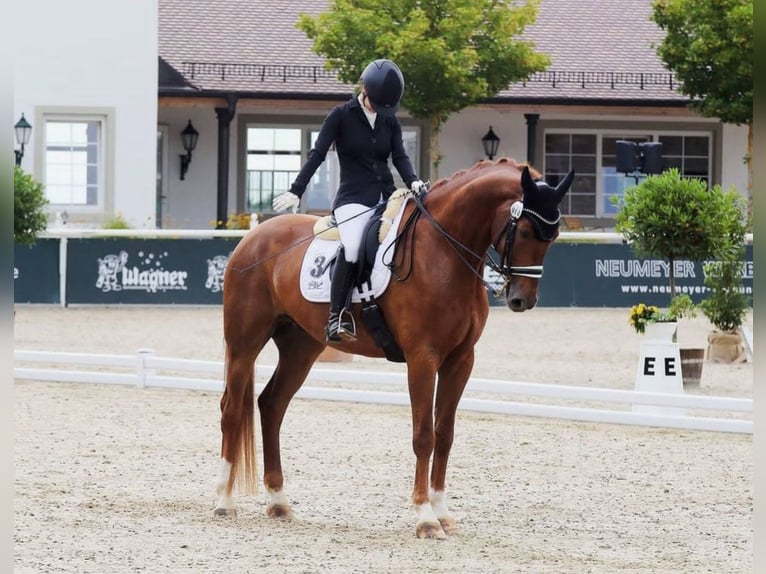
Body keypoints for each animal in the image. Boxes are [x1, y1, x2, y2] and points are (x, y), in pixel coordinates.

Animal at [213, 158, 572, 540]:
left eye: (553, 237)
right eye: (525, 232)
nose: (522, 300)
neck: (444, 252)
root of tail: (253, 238)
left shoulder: (461, 360)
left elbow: (445, 434)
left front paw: (443, 513)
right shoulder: (422, 358)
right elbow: (424, 436)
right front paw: (425, 518)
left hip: (301, 347)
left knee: (272, 405)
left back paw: (279, 501)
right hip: (244, 343)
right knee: (232, 410)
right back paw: (224, 500)